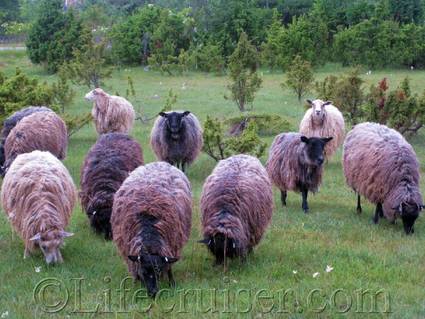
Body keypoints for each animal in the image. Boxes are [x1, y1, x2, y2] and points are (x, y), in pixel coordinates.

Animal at [110, 162, 191, 300]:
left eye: (158, 271)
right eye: (144, 271)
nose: (153, 293)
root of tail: (159, 163)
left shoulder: (171, 245)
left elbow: (169, 267)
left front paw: (172, 283)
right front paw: (137, 283)